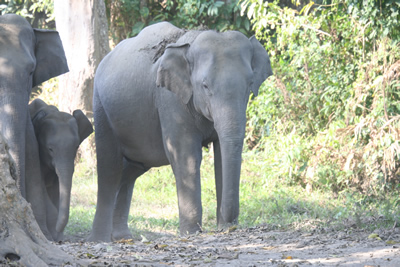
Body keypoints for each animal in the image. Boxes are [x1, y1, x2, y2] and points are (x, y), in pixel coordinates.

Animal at [28, 99, 93, 243]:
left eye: (76, 147)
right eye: (50, 149)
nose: (60, 239)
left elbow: (56, 188)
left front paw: (58, 236)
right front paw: (54, 235)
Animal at [89, 21, 274, 243]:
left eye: (249, 84)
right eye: (205, 86)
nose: (229, 225)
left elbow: (221, 156)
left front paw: (224, 227)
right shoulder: (170, 98)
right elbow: (187, 157)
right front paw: (191, 233)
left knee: (131, 169)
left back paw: (123, 237)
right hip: (101, 107)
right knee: (110, 168)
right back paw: (100, 239)